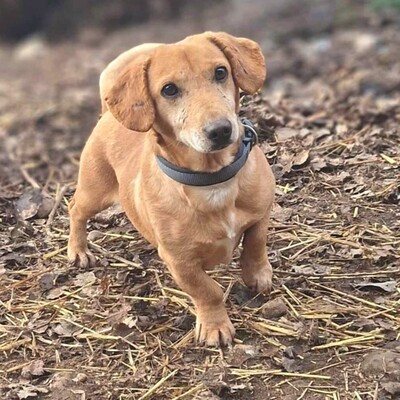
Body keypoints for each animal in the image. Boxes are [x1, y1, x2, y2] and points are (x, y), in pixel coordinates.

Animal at [68, 32, 276, 346]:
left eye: (221, 72)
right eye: (169, 90)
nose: (220, 130)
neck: (212, 180)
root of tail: (107, 115)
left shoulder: (260, 214)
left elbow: (255, 244)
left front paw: (257, 275)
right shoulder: (180, 262)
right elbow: (208, 291)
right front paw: (215, 326)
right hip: (95, 192)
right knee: (75, 210)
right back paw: (77, 250)